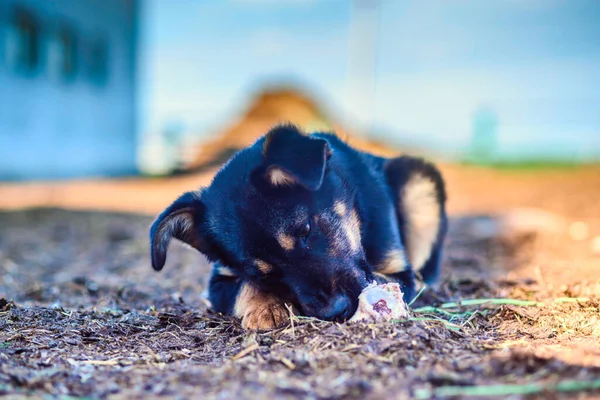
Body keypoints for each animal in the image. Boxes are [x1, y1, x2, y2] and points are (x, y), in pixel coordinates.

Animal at [149, 123, 446, 330]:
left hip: (419, 182)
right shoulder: (219, 282)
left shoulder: (399, 271)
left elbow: (383, 280)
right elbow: (246, 287)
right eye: (264, 274)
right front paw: (265, 308)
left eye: (306, 230)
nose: (334, 311)